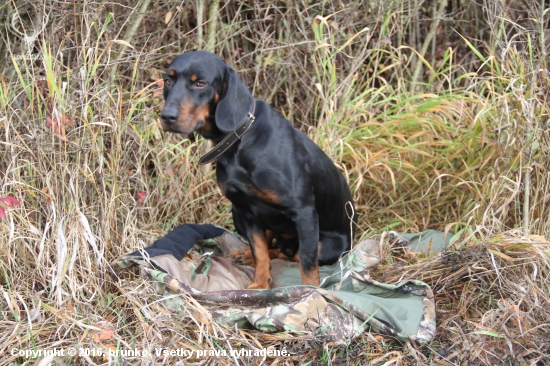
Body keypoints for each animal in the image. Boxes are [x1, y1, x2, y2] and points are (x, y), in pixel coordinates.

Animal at [160, 51, 358, 290]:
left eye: (200, 83)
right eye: (168, 81)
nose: (166, 116)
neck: (239, 141)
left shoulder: (305, 213)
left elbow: (307, 262)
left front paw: (310, 290)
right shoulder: (245, 211)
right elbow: (260, 250)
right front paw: (260, 283)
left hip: (329, 246)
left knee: (292, 253)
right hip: (239, 215)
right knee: (276, 246)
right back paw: (245, 254)